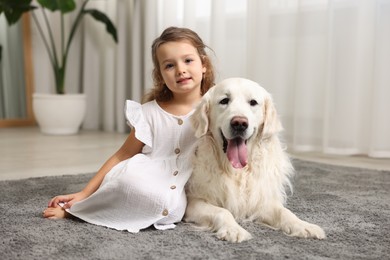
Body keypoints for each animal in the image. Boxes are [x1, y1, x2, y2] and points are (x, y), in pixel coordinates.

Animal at [184, 76, 324, 242]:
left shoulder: (260, 199)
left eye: (253, 102)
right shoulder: (193, 201)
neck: (236, 171)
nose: (239, 123)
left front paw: (303, 225)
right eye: (224, 100)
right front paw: (234, 229)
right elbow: (223, 212)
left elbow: (284, 212)